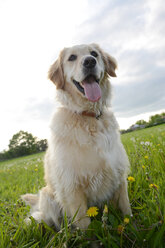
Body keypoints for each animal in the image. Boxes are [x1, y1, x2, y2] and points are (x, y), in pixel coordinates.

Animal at [21, 43, 132, 230]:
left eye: (94, 53)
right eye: (72, 57)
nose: (89, 61)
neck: (89, 116)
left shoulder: (119, 175)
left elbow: (127, 212)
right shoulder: (72, 187)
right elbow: (85, 225)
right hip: (48, 196)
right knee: (56, 223)